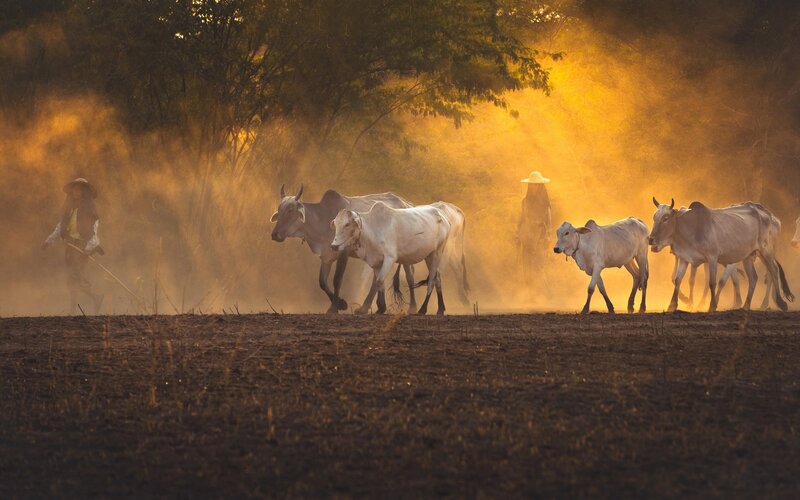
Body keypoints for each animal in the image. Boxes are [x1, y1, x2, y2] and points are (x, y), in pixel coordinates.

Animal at [270, 185, 416, 314]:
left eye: (290, 210)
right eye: (279, 210)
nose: (275, 234)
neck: (322, 219)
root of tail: (407, 204)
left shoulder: (343, 252)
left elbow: (337, 279)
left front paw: (334, 307)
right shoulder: (326, 255)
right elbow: (322, 282)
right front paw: (342, 304)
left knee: (409, 277)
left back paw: (411, 308)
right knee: (378, 278)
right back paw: (371, 307)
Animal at [649, 198, 793, 312]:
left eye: (665, 218)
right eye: (654, 217)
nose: (651, 239)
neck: (691, 228)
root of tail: (768, 214)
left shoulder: (712, 258)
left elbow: (713, 282)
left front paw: (712, 305)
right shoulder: (684, 258)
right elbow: (678, 280)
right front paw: (672, 305)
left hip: (766, 251)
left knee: (773, 271)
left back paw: (780, 303)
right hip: (748, 256)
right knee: (753, 278)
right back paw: (745, 306)